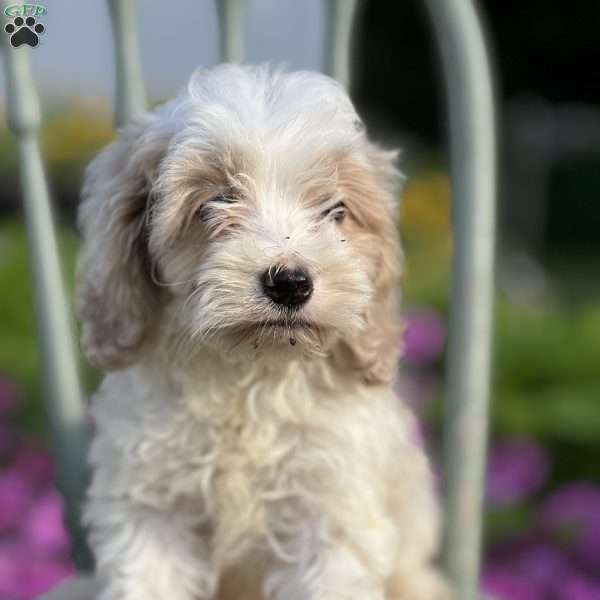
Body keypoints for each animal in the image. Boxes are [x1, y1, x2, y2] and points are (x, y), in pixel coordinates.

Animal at [75, 64, 448, 600]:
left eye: (335, 210)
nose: (290, 282)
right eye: (216, 202)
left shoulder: (330, 510)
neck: (250, 372)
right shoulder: (151, 506)